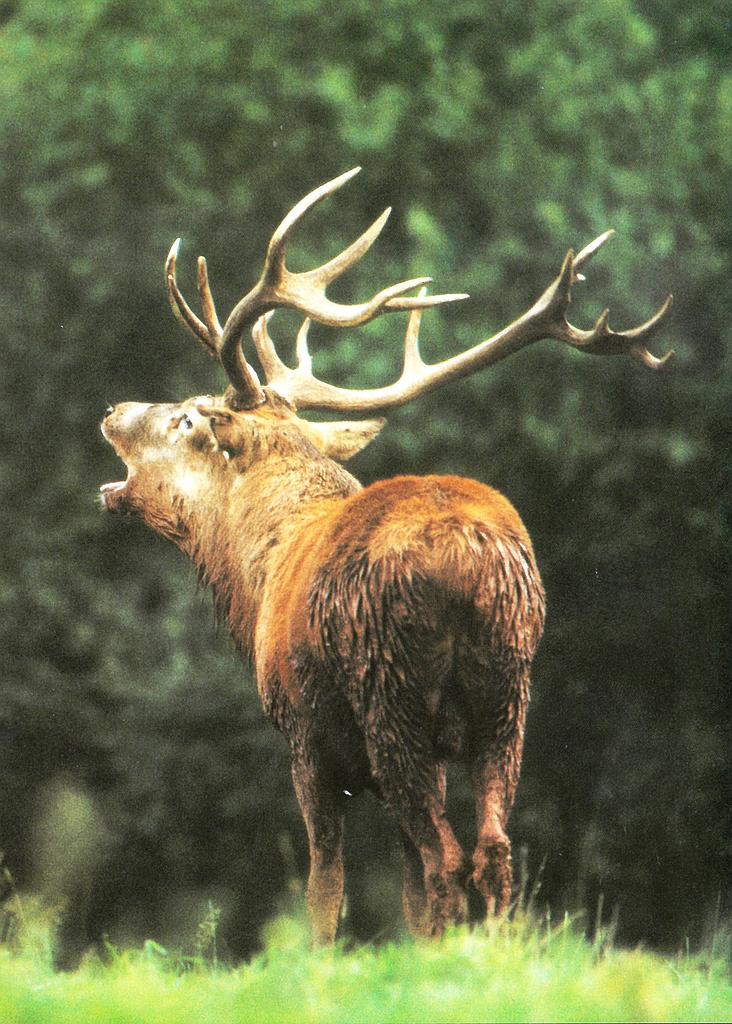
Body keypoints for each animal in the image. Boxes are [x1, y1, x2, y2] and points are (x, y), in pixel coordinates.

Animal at [99, 168, 672, 944]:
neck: (257, 577)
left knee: (446, 858)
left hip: (392, 693)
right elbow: (403, 890)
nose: (113, 411)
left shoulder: (305, 734)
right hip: (509, 691)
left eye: (186, 417)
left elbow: (325, 886)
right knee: (492, 849)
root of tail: (468, 559)